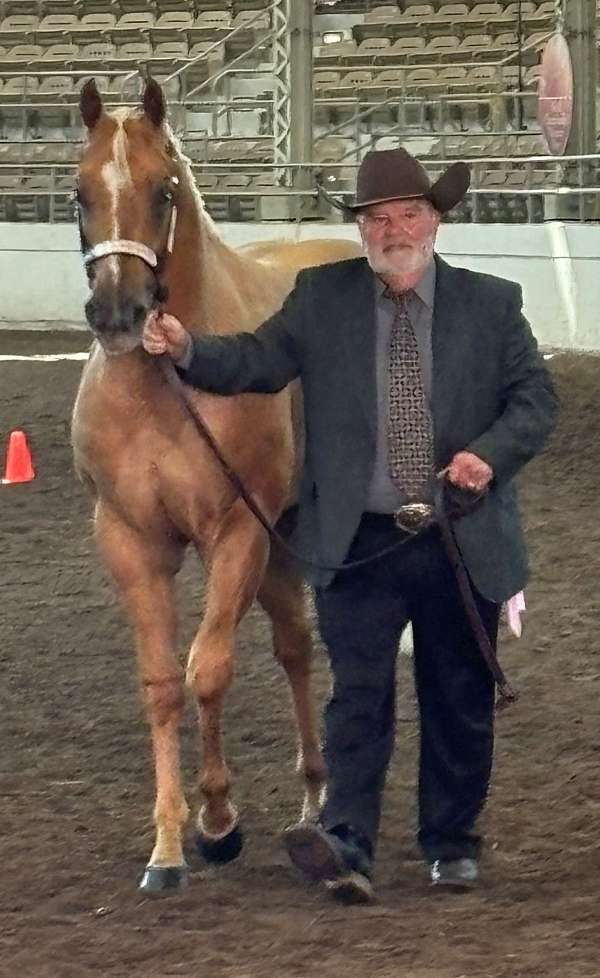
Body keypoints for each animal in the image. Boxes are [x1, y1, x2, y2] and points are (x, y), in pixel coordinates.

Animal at [70, 80, 360, 888]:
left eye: (163, 191)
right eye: (78, 193)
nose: (117, 314)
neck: (164, 390)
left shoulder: (235, 533)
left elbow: (210, 670)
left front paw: (220, 821)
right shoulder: (132, 543)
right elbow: (165, 682)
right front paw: (168, 847)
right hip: (280, 544)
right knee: (295, 645)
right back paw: (310, 798)